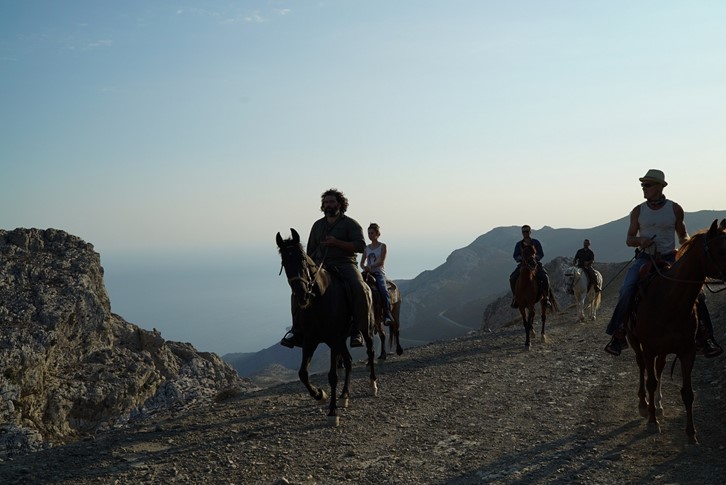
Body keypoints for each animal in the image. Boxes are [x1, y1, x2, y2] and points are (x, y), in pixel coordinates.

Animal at [278, 227, 382, 424]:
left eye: (302, 258)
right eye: (284, 262)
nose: (302, 295)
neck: (319, 299)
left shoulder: (333, 339)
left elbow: (333, 376)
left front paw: (333, 412)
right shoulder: (310, 340)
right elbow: (303, 373)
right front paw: (320, 395)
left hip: (365, 329)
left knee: (371, 352)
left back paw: (372, 385)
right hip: (340, 340)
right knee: (348, 361)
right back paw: (344, 396)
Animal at [624, 218, 726, 442]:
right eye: (722, 249)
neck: (670, 301)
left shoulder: (687, 351)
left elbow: (688, 392)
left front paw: (691, 434)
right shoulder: (649, 348)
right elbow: (650, 381)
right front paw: (652, 421)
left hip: (663, 350)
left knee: (659, 368)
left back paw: (658, 404)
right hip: (636, 343)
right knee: (642, 368)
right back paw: (644, 405)